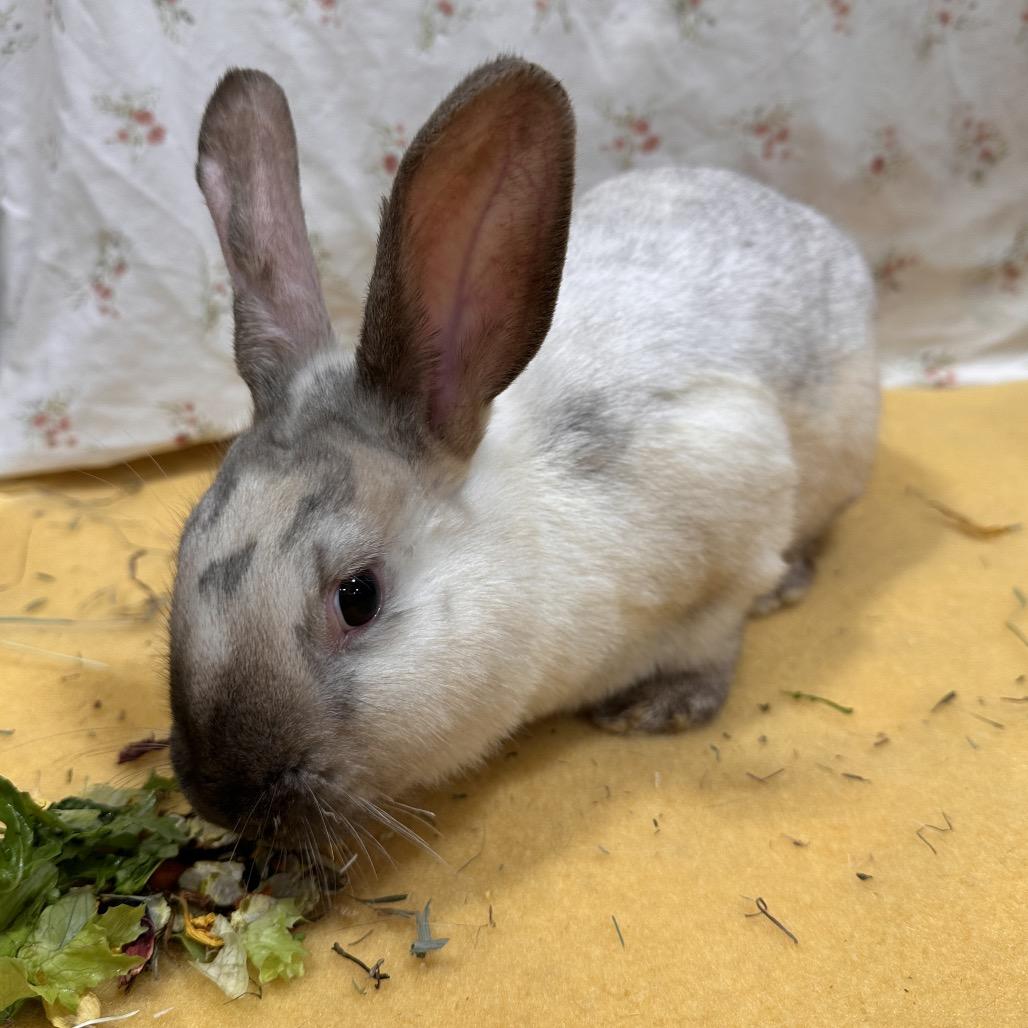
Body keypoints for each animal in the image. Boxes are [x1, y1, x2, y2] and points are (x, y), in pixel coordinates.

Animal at [168, 56, 879, 840]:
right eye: (185, 546)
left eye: (358, 597)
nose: (218, 793)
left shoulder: (734, 495)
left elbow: (717, 633)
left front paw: (660, 707)